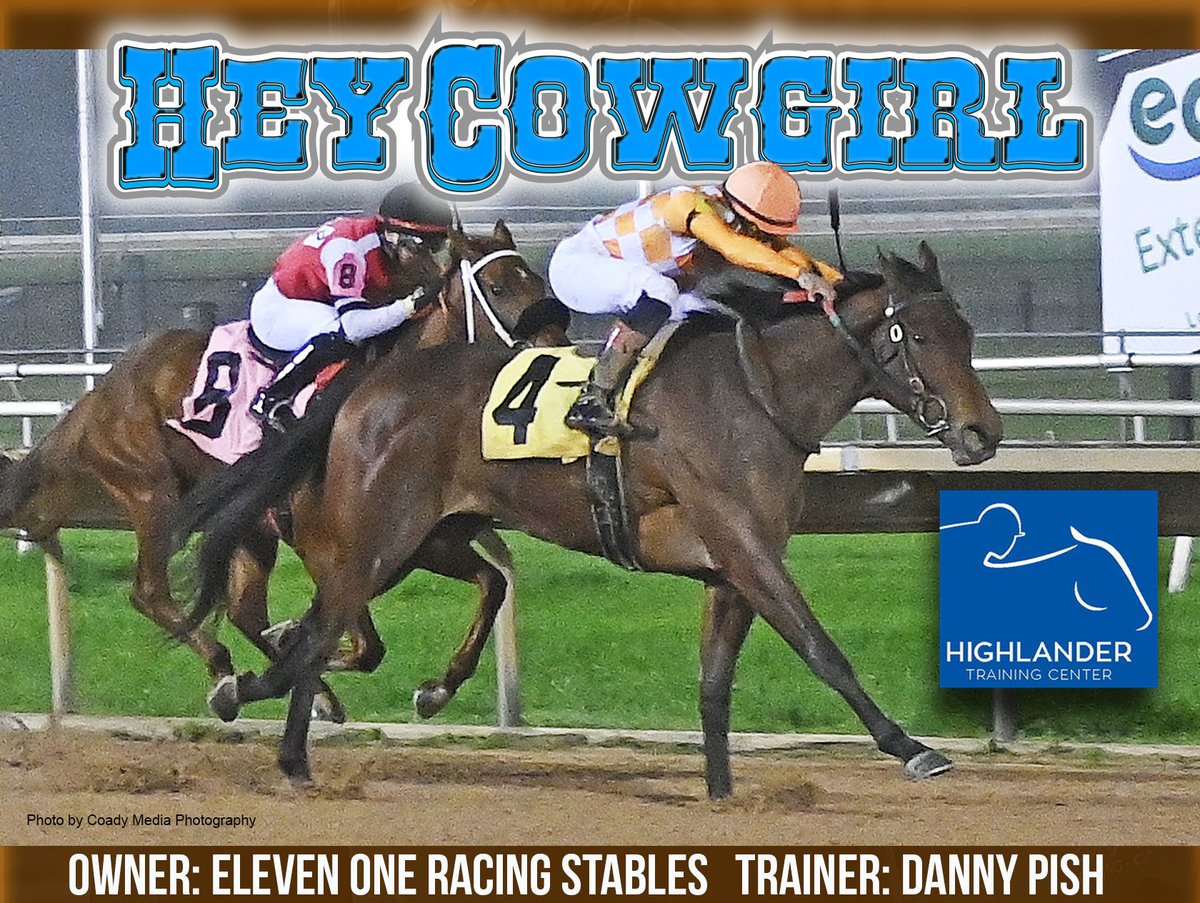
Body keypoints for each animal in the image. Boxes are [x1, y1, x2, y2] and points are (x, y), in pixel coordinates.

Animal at [0, 221, 562, 720]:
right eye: (497, 286)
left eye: (537, 280)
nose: (558, 351)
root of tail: (103, 390)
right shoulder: (323, 542)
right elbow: (362, 642)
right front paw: (293, 652)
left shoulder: (428, 539)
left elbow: (491, 584)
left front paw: (433, 690)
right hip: (153, 493)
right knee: (151, 592)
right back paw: (225, 667)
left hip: (251, 526)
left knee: (243, 610)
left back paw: (303, 690)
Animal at [181, 242, 1003, 798]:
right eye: (920, 338)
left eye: (966, 333)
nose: (983, 432)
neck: (754, 394)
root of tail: (365, 386)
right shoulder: (747, 549)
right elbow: (822, 650)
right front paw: (911, 747)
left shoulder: (734, 565)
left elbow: (715, 682)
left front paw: (720, 791)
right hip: (379, 536)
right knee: (319, 630)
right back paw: (277, 730)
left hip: (426, 537)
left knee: (328, 626)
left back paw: (280, 724)